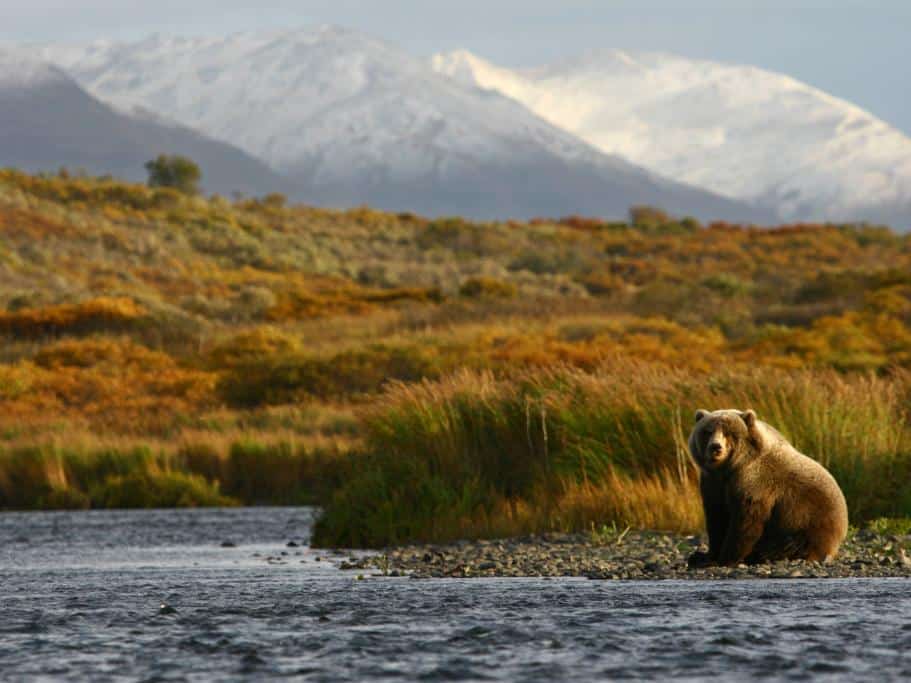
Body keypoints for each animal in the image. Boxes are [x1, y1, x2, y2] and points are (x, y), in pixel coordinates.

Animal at [687, 409, 848, 567]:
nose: (716, 447)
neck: (729, 468)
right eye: (707, 431)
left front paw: (725, 558)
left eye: (729, 432)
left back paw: (758, 556)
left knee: (790, 545)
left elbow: (746, 522)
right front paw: (707, 556)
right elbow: (716, 518)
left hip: (807, 521)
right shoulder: (713, 483)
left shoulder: (755, 483)